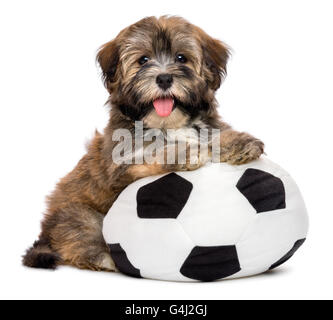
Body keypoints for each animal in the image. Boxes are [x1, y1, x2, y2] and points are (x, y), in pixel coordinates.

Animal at [22, 16, 262, 272]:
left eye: (181, 58)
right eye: (143, 60)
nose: (164, 78)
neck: (168, 124)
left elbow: (213, 135)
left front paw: (239, 141)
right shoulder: (120, 169)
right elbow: (149, 154)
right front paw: (184, 152)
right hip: (80, 215)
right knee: (78, 238)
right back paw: (105, 258)